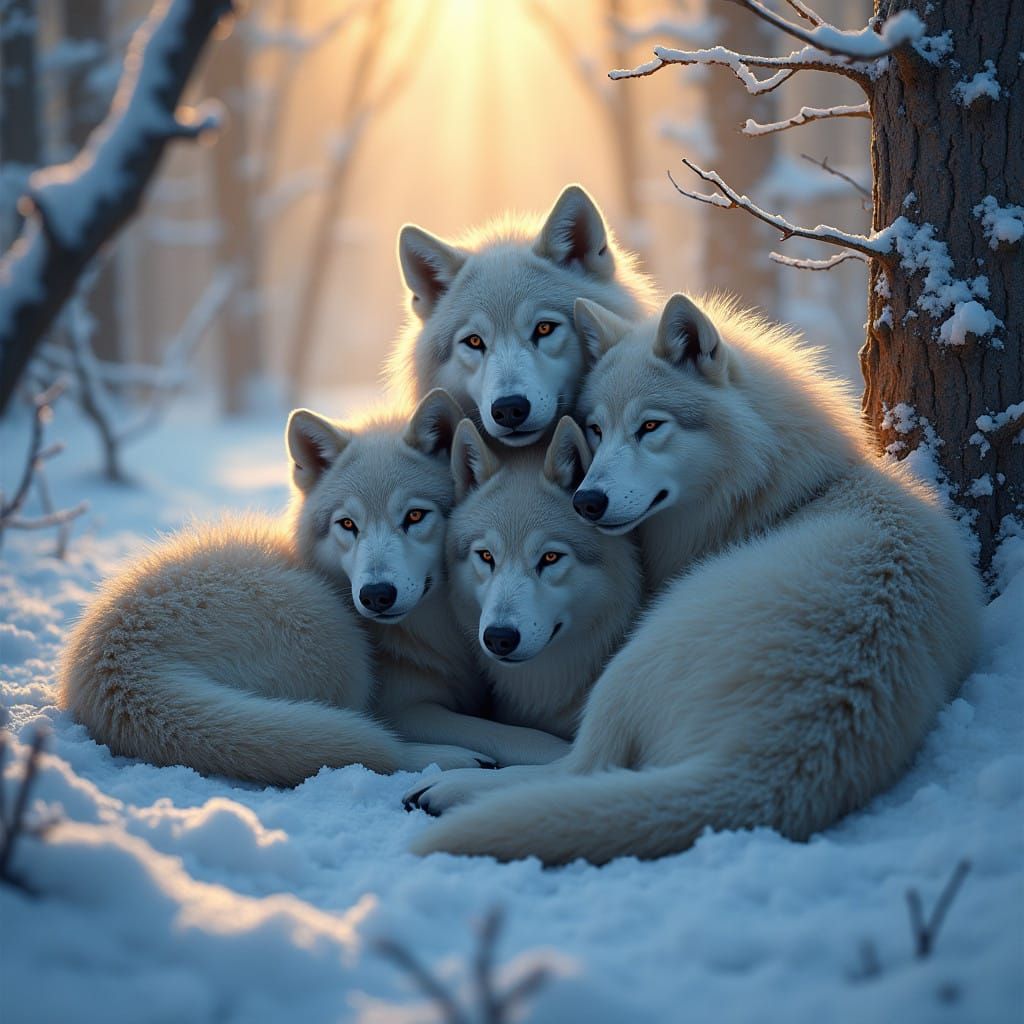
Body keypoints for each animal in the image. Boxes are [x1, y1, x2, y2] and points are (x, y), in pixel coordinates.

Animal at [59, 392, 494, 787]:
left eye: (415, 516)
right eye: (347, 524)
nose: (376, 595)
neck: (435, 630)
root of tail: (115, 671)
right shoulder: (408, 705)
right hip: (336, 640)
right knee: (368, 746)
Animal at [405, 294, 982, 864]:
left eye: (649, 427)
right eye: (596, 430)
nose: (587, 501)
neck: (787, 495)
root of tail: (772, 763)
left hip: (631, 660)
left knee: (581, 766)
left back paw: (452, 789)